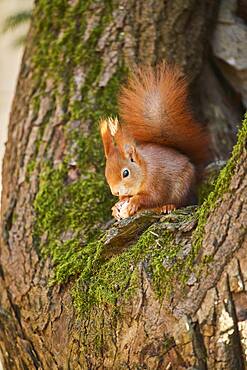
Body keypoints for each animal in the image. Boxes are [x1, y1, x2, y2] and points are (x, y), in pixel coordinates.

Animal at [99, 62, 209, 220]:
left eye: (125, 173)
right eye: (106, 173)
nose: (115, 192)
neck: (144, 168)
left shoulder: (156, 180)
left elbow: (153, 196)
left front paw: (133, 203)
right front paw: (116, 206)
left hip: (182, 188)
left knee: (180, 202)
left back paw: (168, 206)